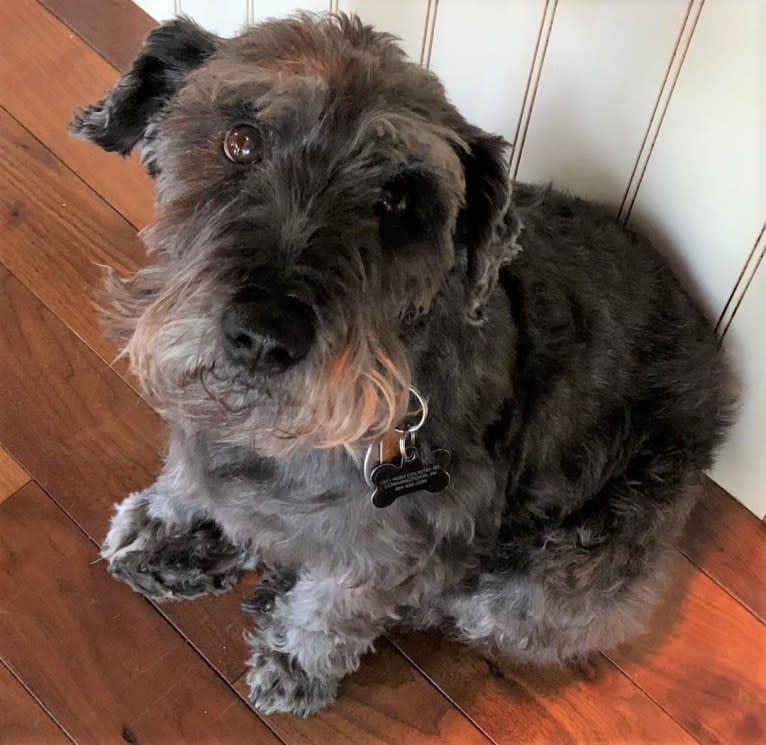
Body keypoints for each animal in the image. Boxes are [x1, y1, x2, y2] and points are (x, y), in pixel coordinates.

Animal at [70, 14, 732, 716]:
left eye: (399, 201)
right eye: (241, 142)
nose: (264, 337)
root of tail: (716, 369)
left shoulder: (403, 542)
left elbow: (342, 606)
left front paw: (295, 658)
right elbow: (191, 473)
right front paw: (171, 525)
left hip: (549, 585)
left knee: (457, 600)